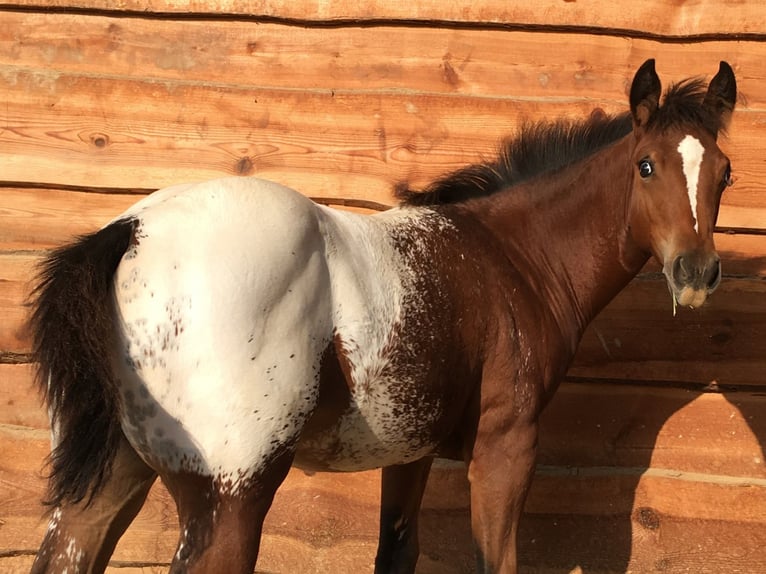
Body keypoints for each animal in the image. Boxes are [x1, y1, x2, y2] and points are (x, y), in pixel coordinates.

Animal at [30, 59, 736, 574]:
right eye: (646, 166)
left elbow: (396, 553)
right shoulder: (506, 451)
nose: (696, 274)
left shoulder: (409, 453)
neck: (511, 258)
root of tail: (132, 231)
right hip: (231, 496)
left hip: (111, 477)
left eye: (725, 174)